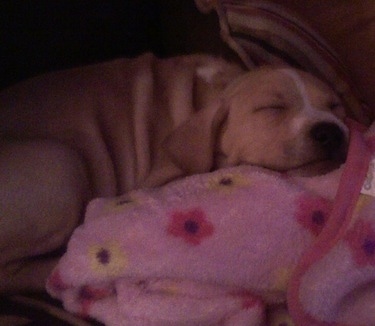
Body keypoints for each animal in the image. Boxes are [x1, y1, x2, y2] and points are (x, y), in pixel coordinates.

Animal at [0, 53, 350, 292]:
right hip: (61, 160)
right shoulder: (156, 178)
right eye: (272, 108)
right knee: (15, 273)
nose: (332, 132)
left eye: (336, 107)